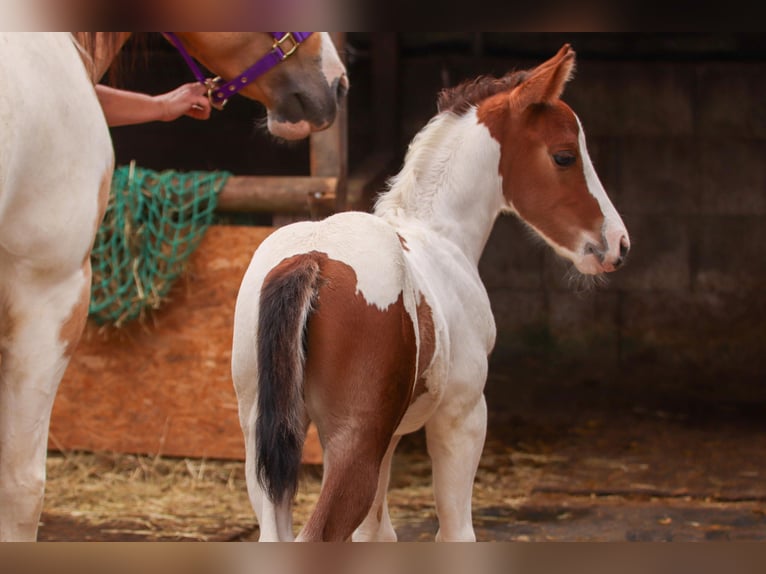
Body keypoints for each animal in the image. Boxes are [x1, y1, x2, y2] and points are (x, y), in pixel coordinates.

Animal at [231, 44, 630, 542]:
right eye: (564, 156)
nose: (617, 244)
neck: (440, 237)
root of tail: (312, 260)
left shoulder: (390, 439)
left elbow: (377, 534)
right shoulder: (462, 418)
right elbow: (456, 532)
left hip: (262, 443)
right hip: (352, 443)